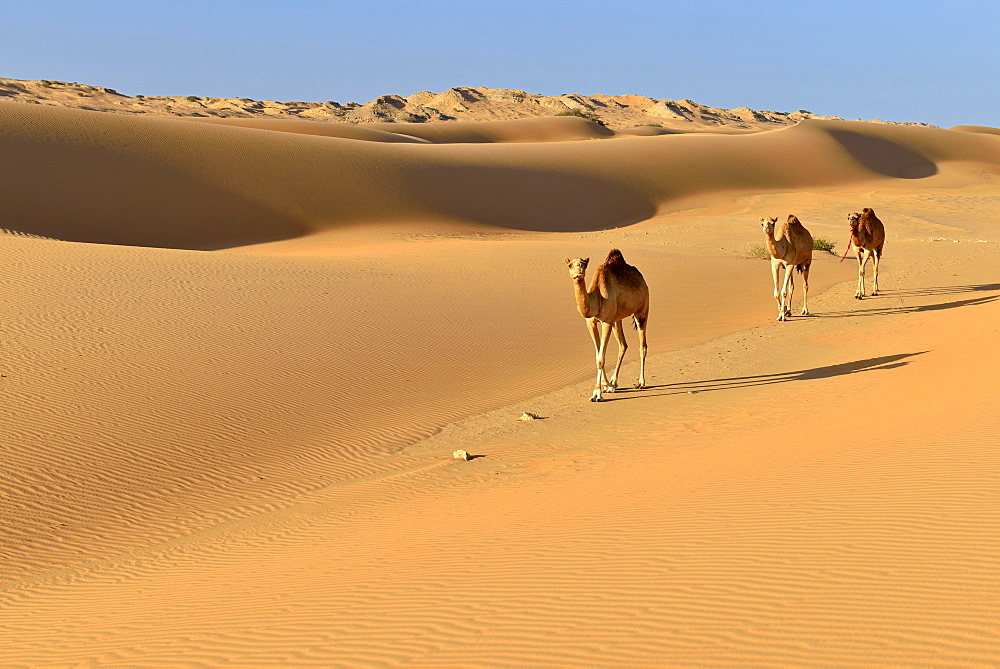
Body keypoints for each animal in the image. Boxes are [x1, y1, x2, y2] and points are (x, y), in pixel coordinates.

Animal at [564, 247, 648, 400]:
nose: (579, 269)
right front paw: (606, 385)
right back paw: (614, 382)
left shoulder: (606, 322)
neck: (596, 299)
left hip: (643, 309)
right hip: (617, 319)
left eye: (585, 264)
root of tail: (642, 279)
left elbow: (601, 358)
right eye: (569, 265)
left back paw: (641, 382)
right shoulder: (591, 323)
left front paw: (597, 393)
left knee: (642, 345)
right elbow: (598, 355)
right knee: (623, 345)